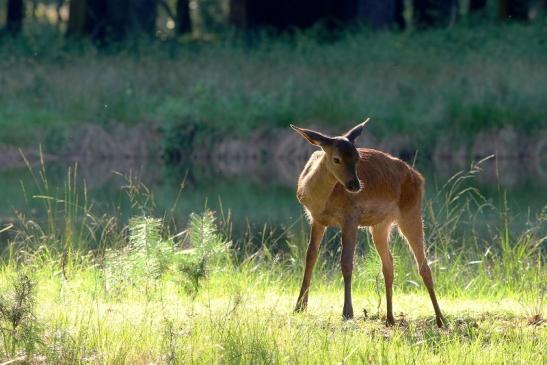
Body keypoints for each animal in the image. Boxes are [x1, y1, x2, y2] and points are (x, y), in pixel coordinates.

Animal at [292, 119, 446, 328]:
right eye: (336, 159)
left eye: (357, 157)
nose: (355, 185)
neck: (319, 199)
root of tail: (419, 177)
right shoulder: (316, 219)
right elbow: (310, 257)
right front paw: (299, 306)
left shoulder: (350, 217)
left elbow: (346, 262)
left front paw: (347, 312)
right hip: (380, 225)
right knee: (388, 264)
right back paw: (390, 318)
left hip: (411, 211)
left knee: (423, 265)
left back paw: (440, 319)